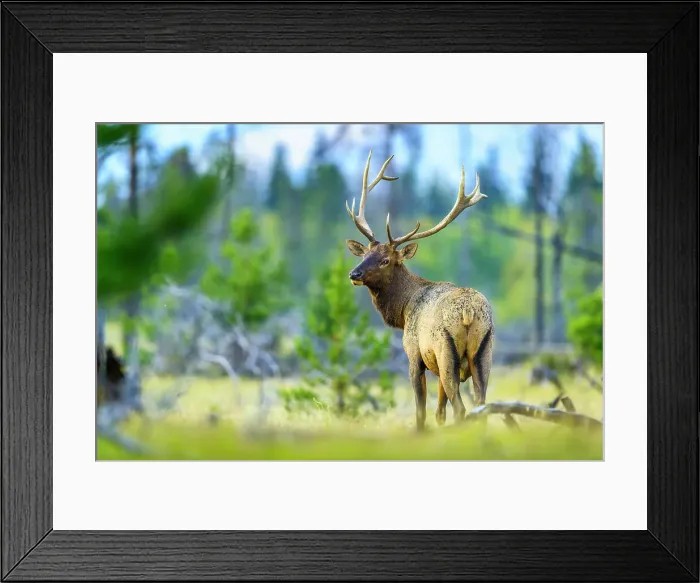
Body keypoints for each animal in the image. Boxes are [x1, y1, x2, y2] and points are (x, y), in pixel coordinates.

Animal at [345, 151, 494, 431]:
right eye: (366, 254)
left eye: (385, 260)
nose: (354, 274)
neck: (403, 313)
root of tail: (468, 312)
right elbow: (439, 412)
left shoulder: (414, 354)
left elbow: (421, 410)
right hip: (484, 351)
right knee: (481, 404)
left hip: (446, 351)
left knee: (461, 408)